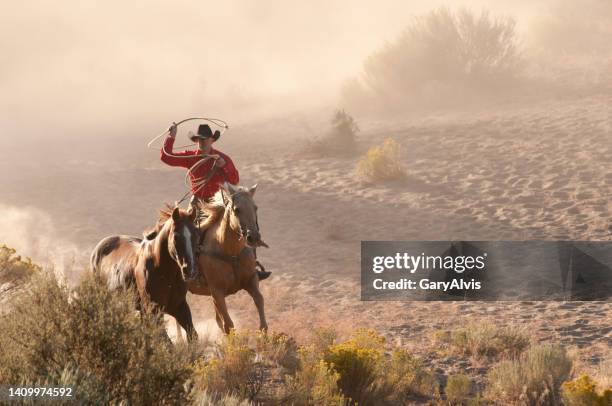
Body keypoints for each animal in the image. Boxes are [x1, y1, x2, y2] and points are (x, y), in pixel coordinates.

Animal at [89, 208, 200, 340]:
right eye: (176, 237)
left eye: (196, 235)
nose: (190, 270)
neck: (163, 270)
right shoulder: (154, 311)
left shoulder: (179, 307)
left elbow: (193, 336)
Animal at [179, 184, 270, 336]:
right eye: (237, 209)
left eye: (255, 207)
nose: (254, 237)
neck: (230, 252)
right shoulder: (217, 292)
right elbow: (228, 324)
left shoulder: (251, 280)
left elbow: (260, 302)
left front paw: (263, 334)